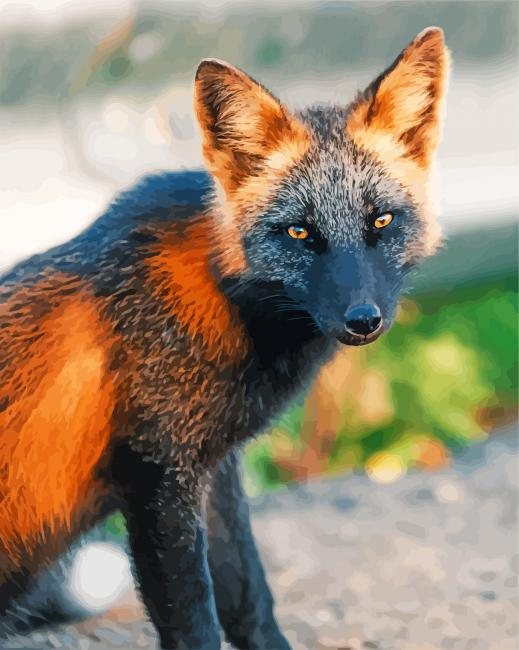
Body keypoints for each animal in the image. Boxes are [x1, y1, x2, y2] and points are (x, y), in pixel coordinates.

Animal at [0, 27, 449, 649]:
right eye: (299, 232)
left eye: (380, 221)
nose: (364, 319)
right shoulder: (158, 477)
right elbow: (196, 622)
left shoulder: (215, 470)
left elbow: (250, 600)